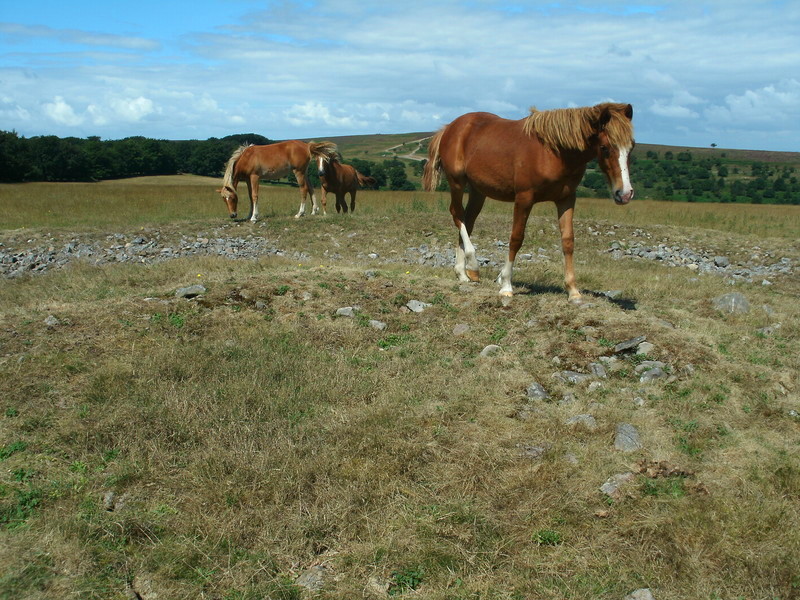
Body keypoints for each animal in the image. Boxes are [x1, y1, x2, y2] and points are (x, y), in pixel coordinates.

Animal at [422, 101, 636, 304]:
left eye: (631, 147)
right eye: (605, 148)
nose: (625, 194)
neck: (553, 152)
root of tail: (450, 127)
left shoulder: (566, 199)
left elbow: (568, 241)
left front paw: (573, 291)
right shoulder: (524, 198)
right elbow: (516, 238)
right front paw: (506, 285)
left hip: (478, 191)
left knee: (468, 220)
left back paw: (463, 273)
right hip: (457, 182)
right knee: (457, 214)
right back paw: (473, 265)